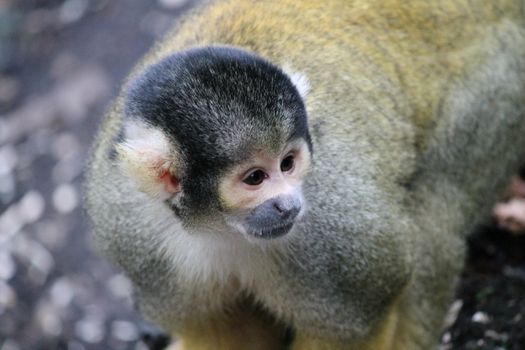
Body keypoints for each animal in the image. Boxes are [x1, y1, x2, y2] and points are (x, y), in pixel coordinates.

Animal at [84, 0, 524, 350]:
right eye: (255, 178)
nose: (288, 204)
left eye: (288, 163)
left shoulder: (335, 235)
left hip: (498, 86)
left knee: (434, 213)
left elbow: (356, 318)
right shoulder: (137, 235)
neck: (220, 228)